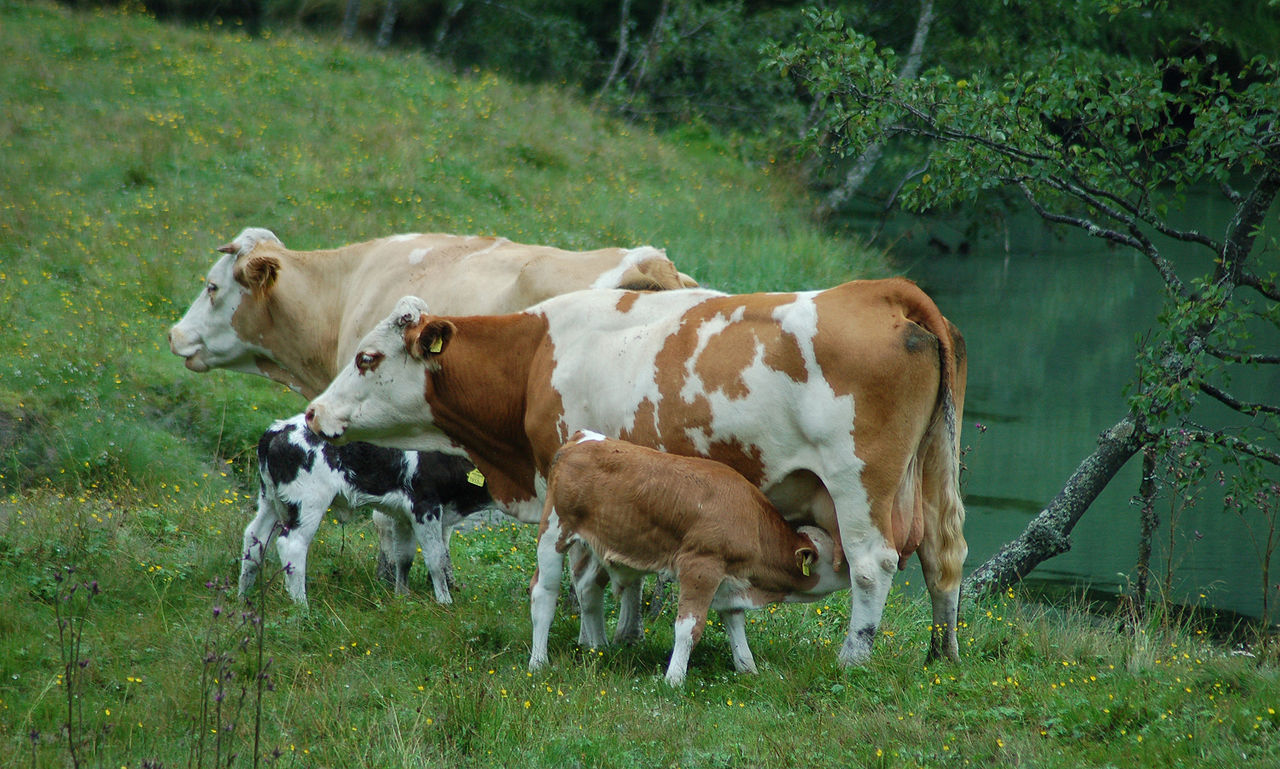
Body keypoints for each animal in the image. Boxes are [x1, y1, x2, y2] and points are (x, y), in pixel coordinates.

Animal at [238, 414, 491, 606]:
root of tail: (278, 429)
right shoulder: (424, 506)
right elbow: (436, 558)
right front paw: (444, 602)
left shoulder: (403, 516)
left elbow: (404, 557)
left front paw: (402, 597)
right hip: (307, 502)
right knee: (292, 544)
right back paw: (302, 607)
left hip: (270, 500)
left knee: (255, 537)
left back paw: (243, 596)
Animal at [529, 429, 849, 685]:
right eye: (835, 559)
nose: (850, 565)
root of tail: (579, 439)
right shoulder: (701, 566)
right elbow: (688, 628)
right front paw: (673, 679)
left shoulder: (731, 579)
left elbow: (736, 625)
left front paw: (748, 669)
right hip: (554, 530)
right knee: (544, 593)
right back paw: (539, 661)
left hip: (599, 542)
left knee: (588, 589)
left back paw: (598, 649)